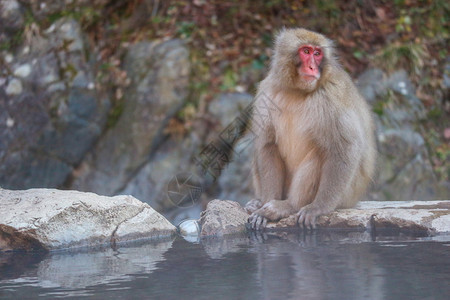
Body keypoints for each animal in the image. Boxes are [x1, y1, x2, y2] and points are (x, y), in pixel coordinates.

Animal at [246, 28, 376, 230]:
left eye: (317, 53)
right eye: (306, 51)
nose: (313, 68)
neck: (298, 91)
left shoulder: (331, 96)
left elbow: (345, 148)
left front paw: (319, 208)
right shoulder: (265, 91)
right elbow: (267, 145)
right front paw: (263, 209)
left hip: (346, 195)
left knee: (320, 154)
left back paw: (290, 205)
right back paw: (259, 203)